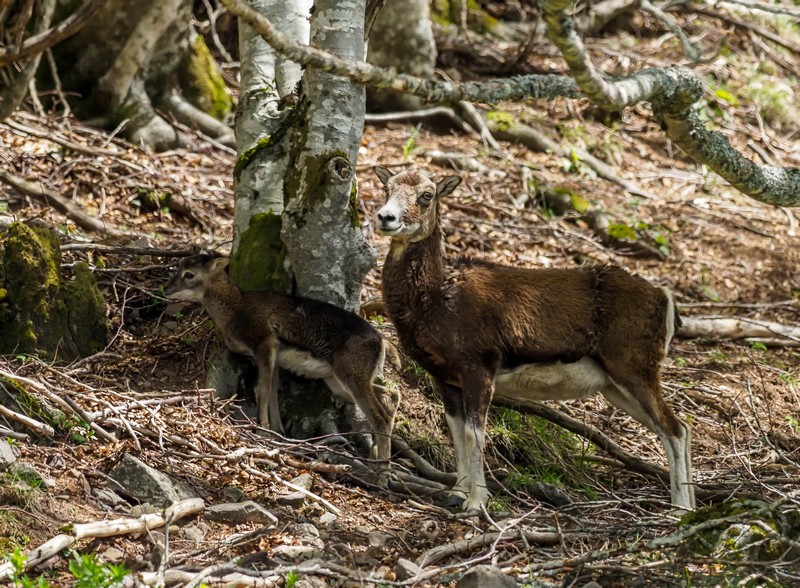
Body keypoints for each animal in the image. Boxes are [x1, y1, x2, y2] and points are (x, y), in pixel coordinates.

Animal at [164, 253, 398, 467]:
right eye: (178, 267)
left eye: (189, 274)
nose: (166, 290)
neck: (235, 311)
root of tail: (382, 342)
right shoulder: (275, 359)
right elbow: (273, 391)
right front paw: (277, 432)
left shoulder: (265, 344)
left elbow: (262, 389)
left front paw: (264, 432)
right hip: (339, 380)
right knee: (390, 396)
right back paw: (375, 454)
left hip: (351, 375)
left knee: (380, 416)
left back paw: (380, 472)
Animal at [373, 166, 694, 512]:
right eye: (387, 187)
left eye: (427, 194)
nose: (385, 217)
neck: (434, 301)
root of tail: (666, 301)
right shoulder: (445, 377)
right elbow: (455, 432)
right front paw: (456, 493)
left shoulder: (479, 366)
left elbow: (475, 434)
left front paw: (476, 503)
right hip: (614, 385)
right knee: (680, 428)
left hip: (635, 367)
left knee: (673, 429)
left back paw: (681, 510)